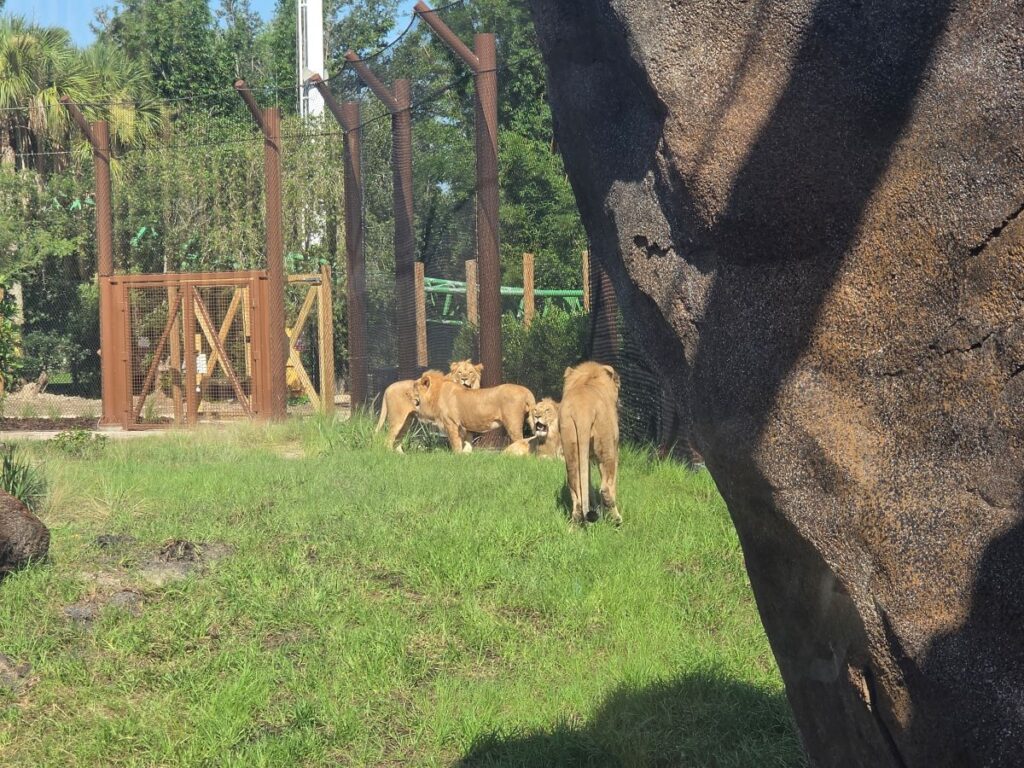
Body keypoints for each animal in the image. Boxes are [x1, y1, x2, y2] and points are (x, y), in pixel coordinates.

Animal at [559, 362, 621, 526]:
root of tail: (583, 409)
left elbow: (587, 484)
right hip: (607, 448)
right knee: (606, 488)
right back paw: (616, 519)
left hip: (571, 448)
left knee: (577, 493)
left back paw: (575, 525)